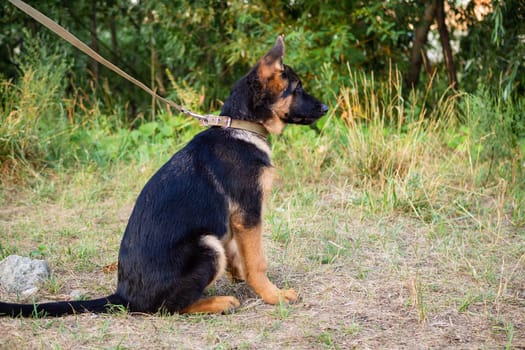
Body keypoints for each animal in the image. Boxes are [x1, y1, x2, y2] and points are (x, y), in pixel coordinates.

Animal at [0, 35, 326, 318]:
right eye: (297, 88)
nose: (324, 107)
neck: (241, 126)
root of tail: (123, 296)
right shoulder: (248, 212)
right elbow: (257, 261)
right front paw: (273, 295)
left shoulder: (236, 220)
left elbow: (240, 253)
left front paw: (241, 276)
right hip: (206, 246)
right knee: (168, 307)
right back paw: (218, 302)